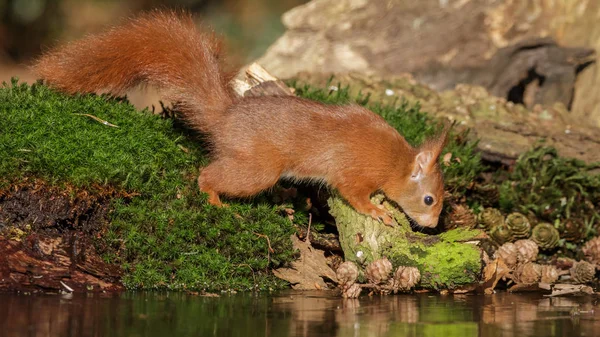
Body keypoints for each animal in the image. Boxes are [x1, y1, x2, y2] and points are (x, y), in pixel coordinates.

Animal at [31, 10, 446, 227]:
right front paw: (377, 211)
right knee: (207, 175)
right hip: (257, 170)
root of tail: (225, 117)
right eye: (428, 199)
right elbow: (354, 195)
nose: (431, 227)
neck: (395, 161)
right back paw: (214, 200)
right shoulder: (354, 172)